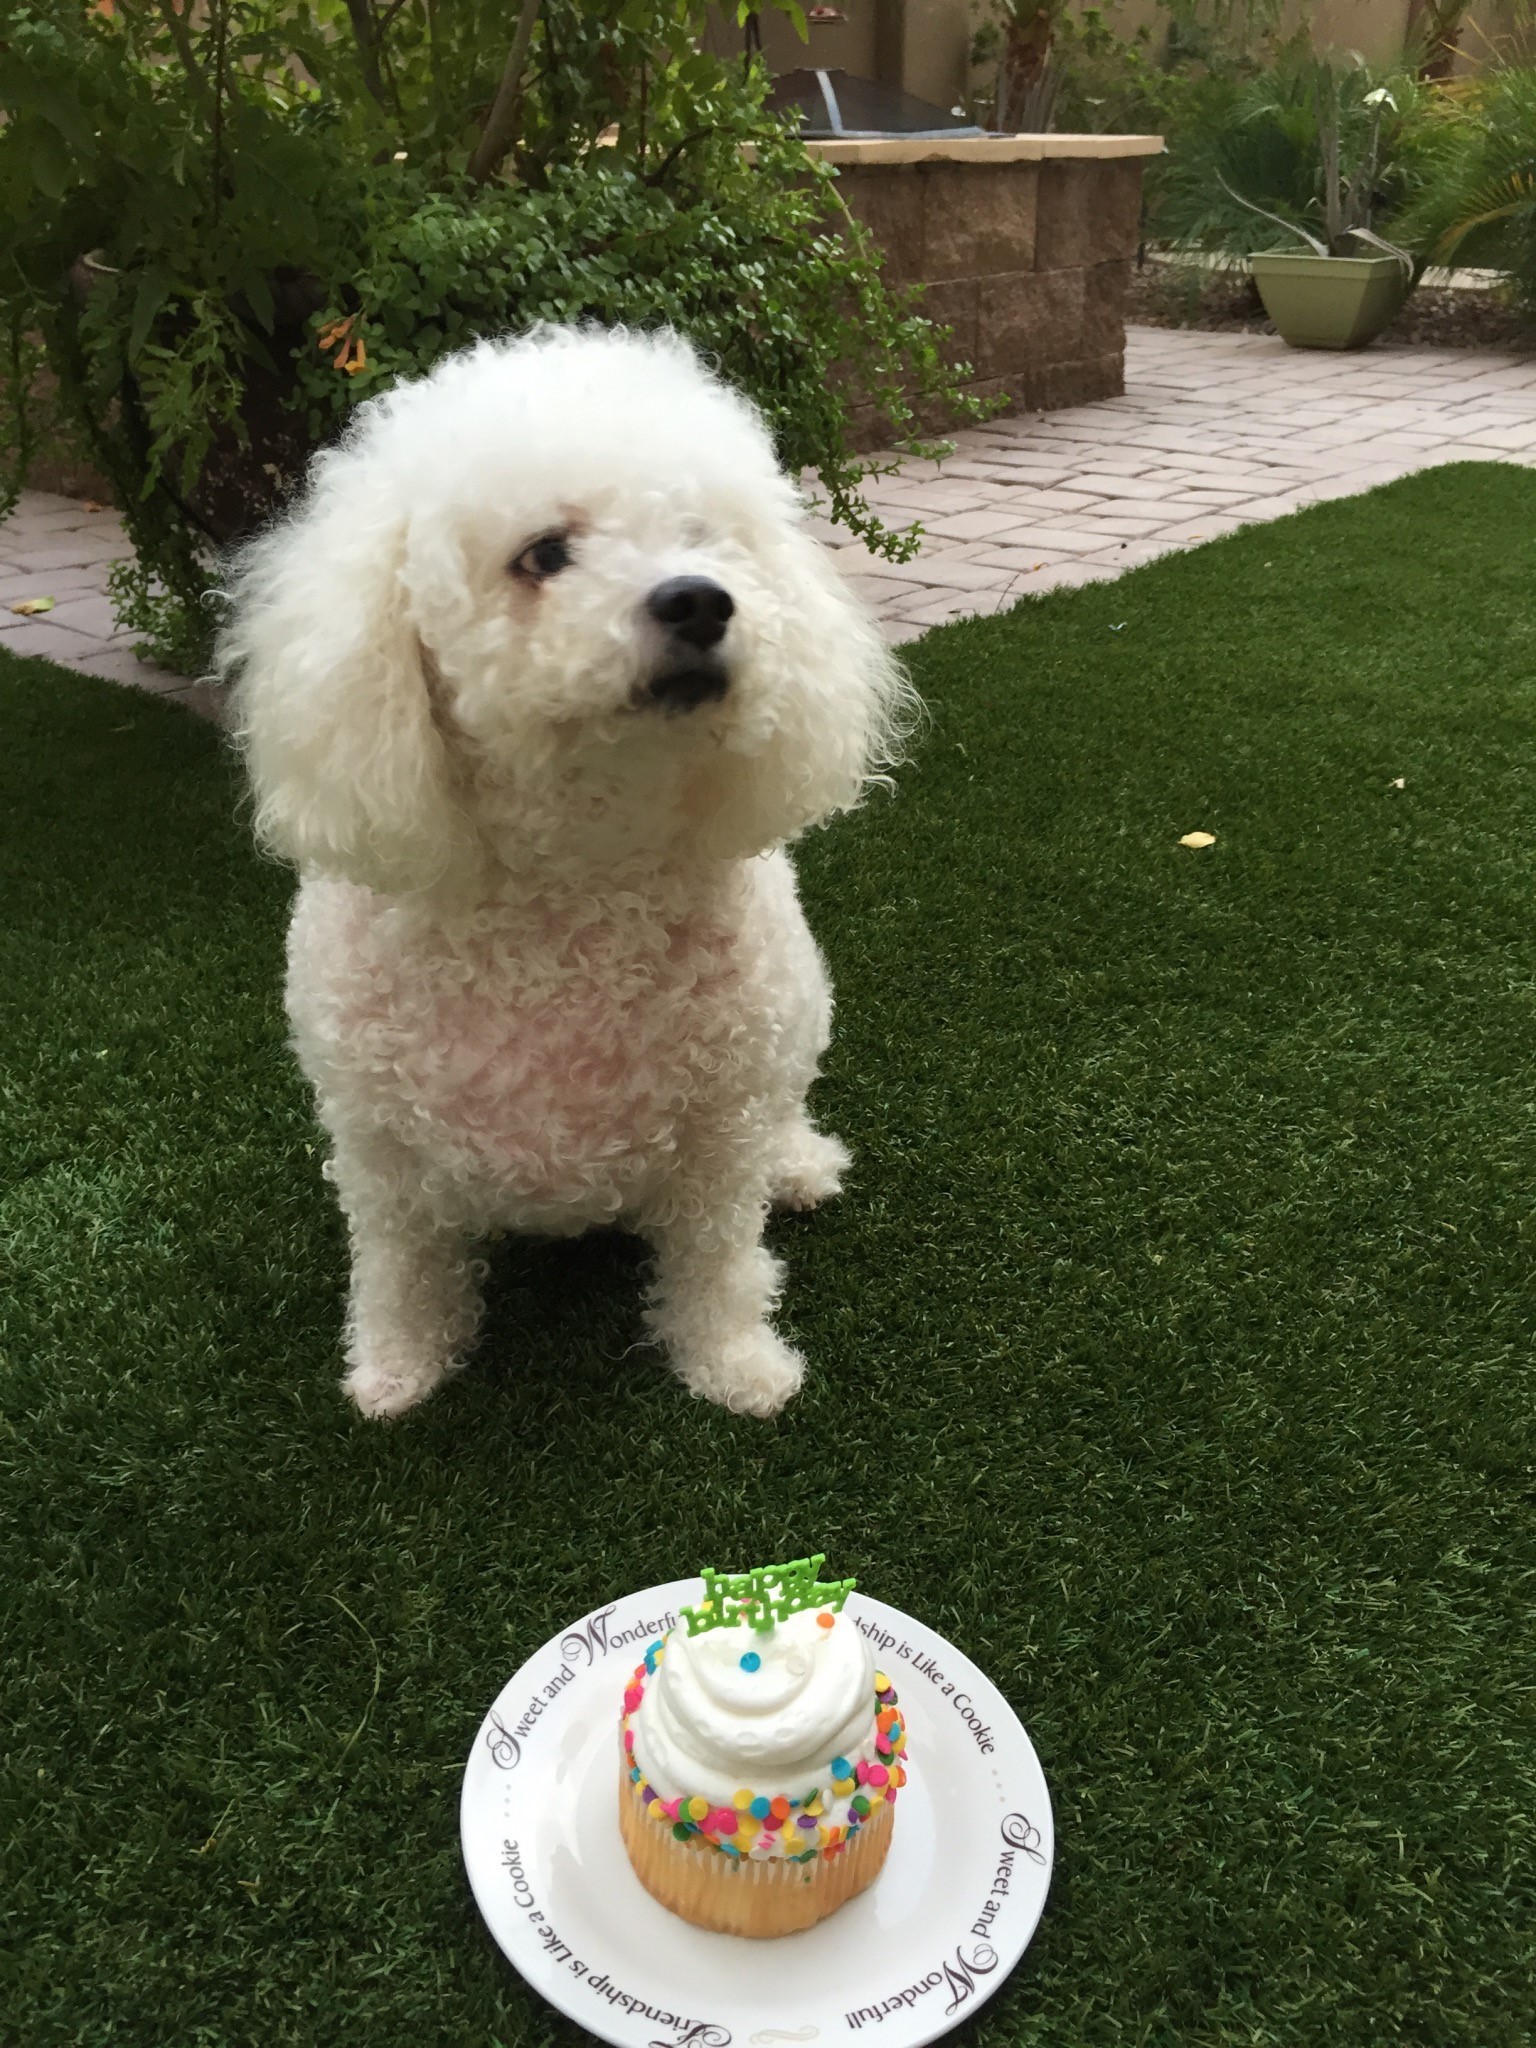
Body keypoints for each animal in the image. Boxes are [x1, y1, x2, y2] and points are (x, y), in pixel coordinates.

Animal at [220, 324, 914, 1421]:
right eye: (544, 554)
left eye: (706, 537)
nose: (700, 600)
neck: (577, 872)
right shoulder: (379, 1148)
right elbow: (403, 1265)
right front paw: (397, 1369)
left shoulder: (719, 1135)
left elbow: (718, 1263)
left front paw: (736, 1366)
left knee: (785, 1115)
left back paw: (800, 1164)